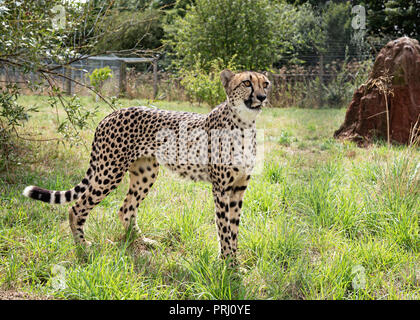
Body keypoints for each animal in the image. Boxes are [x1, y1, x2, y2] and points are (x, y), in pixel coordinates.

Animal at [23, 69, 270, 262]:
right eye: (246, 83)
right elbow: (224, 228)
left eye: (265, 83)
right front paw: (228, 265)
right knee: (77, 208)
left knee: (125, 209)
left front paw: (234, 262)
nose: (262, 96)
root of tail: (111, 113)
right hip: (109, 171)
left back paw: (142, 241)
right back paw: (83, 247)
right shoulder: (221, 189)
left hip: (145, 173)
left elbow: (234, 228)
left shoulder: (239, 188)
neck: (244, 124)